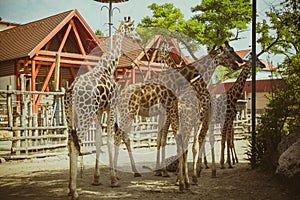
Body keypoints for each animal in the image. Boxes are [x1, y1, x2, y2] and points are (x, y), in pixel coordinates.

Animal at [64, 17, 141, 200]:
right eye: (132, 27)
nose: (139, 39)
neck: (109, 66)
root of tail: (71, 91)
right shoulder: (111, 107)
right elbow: (111, 138)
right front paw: (113, 180)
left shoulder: (100, 111)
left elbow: (99, 139)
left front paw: (97, 179)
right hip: (84, 115)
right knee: (77, 144)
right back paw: (74, 191)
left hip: (69, 117)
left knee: (70, 143)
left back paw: (70, 188)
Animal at [113, 41, 244, 191]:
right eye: (229, 53)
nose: (238, 63)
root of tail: (120, 95)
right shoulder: (169, 111)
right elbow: (167, 140)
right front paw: (169, 174)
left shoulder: (165, 113)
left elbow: (162, 139)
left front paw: (163, 172)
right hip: (128, 113)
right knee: (118, 136)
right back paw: (115, 178)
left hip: (128, 114)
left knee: (123, 137)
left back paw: (131, 172)